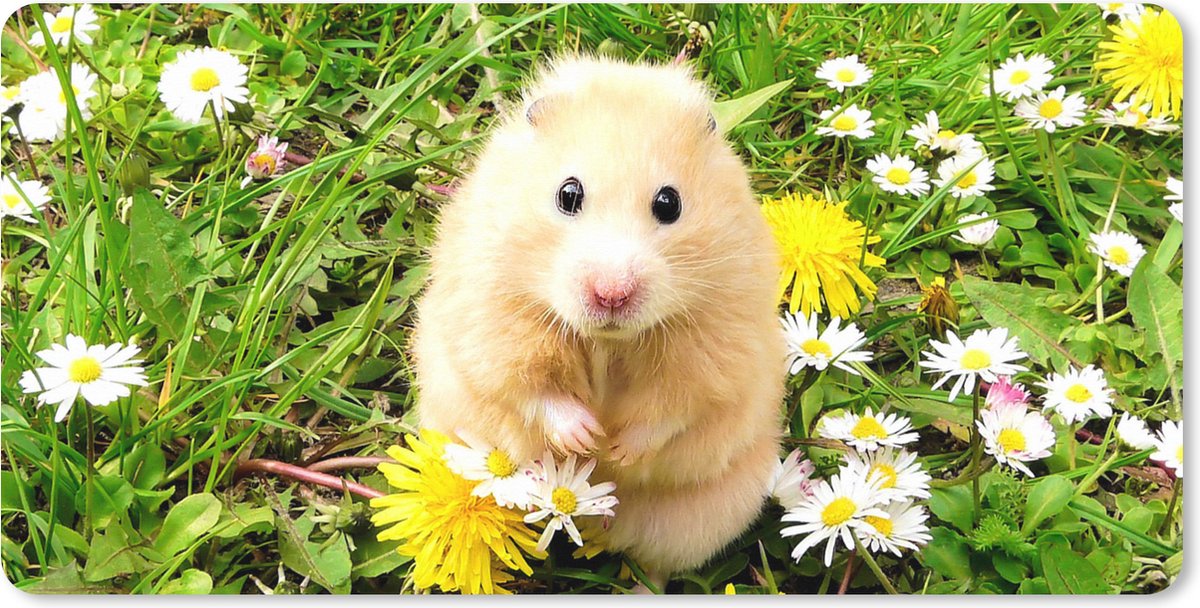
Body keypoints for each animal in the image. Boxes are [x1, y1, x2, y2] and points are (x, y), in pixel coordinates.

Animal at [412, 56, 787, 584]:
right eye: (568, 195)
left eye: (669, 203)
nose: (612, 294)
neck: (609, 340)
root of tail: (593, 522)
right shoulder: (493, 319)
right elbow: (530, 389)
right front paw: (586, 440)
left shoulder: (716, 346)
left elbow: (674, 407)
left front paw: (616, 452)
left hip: (697, 520)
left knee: (655, 566)